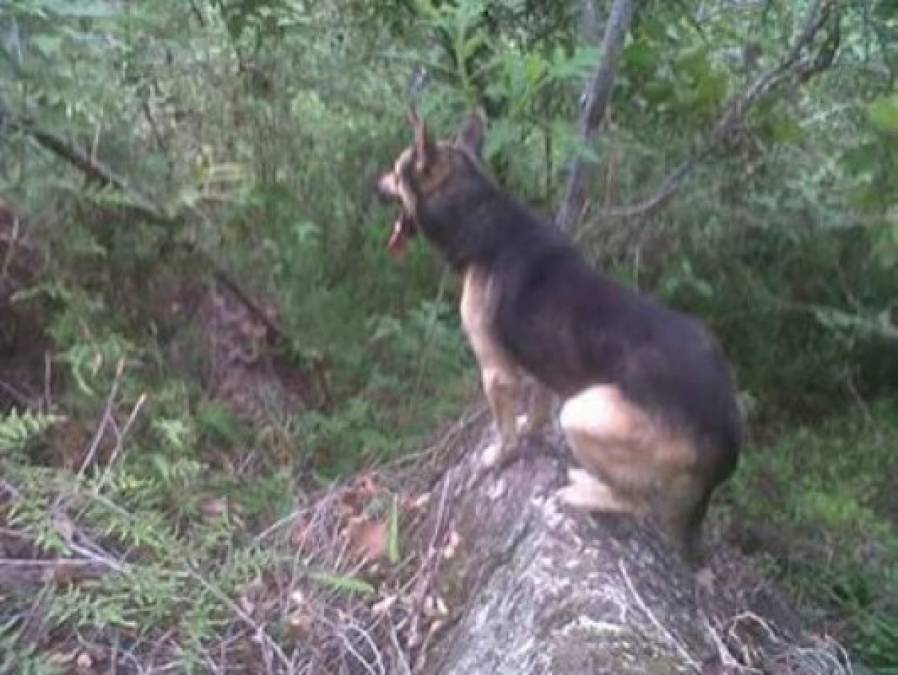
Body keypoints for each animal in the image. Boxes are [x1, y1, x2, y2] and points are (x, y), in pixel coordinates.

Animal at [374, 108, 740, 556]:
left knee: (637, 501)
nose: (374, 184)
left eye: (395, 172)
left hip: (584, 413)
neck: (483, 216)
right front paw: (529, 432)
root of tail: (729, 429)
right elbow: (535, 411)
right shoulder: (539, 364)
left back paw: (583, 491)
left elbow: (505, 431)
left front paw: (499, 457)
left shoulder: (497, 372)